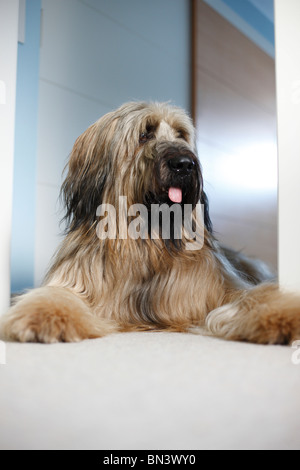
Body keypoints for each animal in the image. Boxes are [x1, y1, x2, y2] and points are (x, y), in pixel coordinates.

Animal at [2, 103, 300, 344]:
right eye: (144, 134)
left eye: (181, 134)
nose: (184, 164)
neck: (148, 239)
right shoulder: (80, 281)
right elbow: (57, 294)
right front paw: (44, 317)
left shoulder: (220, 288)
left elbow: (255, 297)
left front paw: (283, 315)